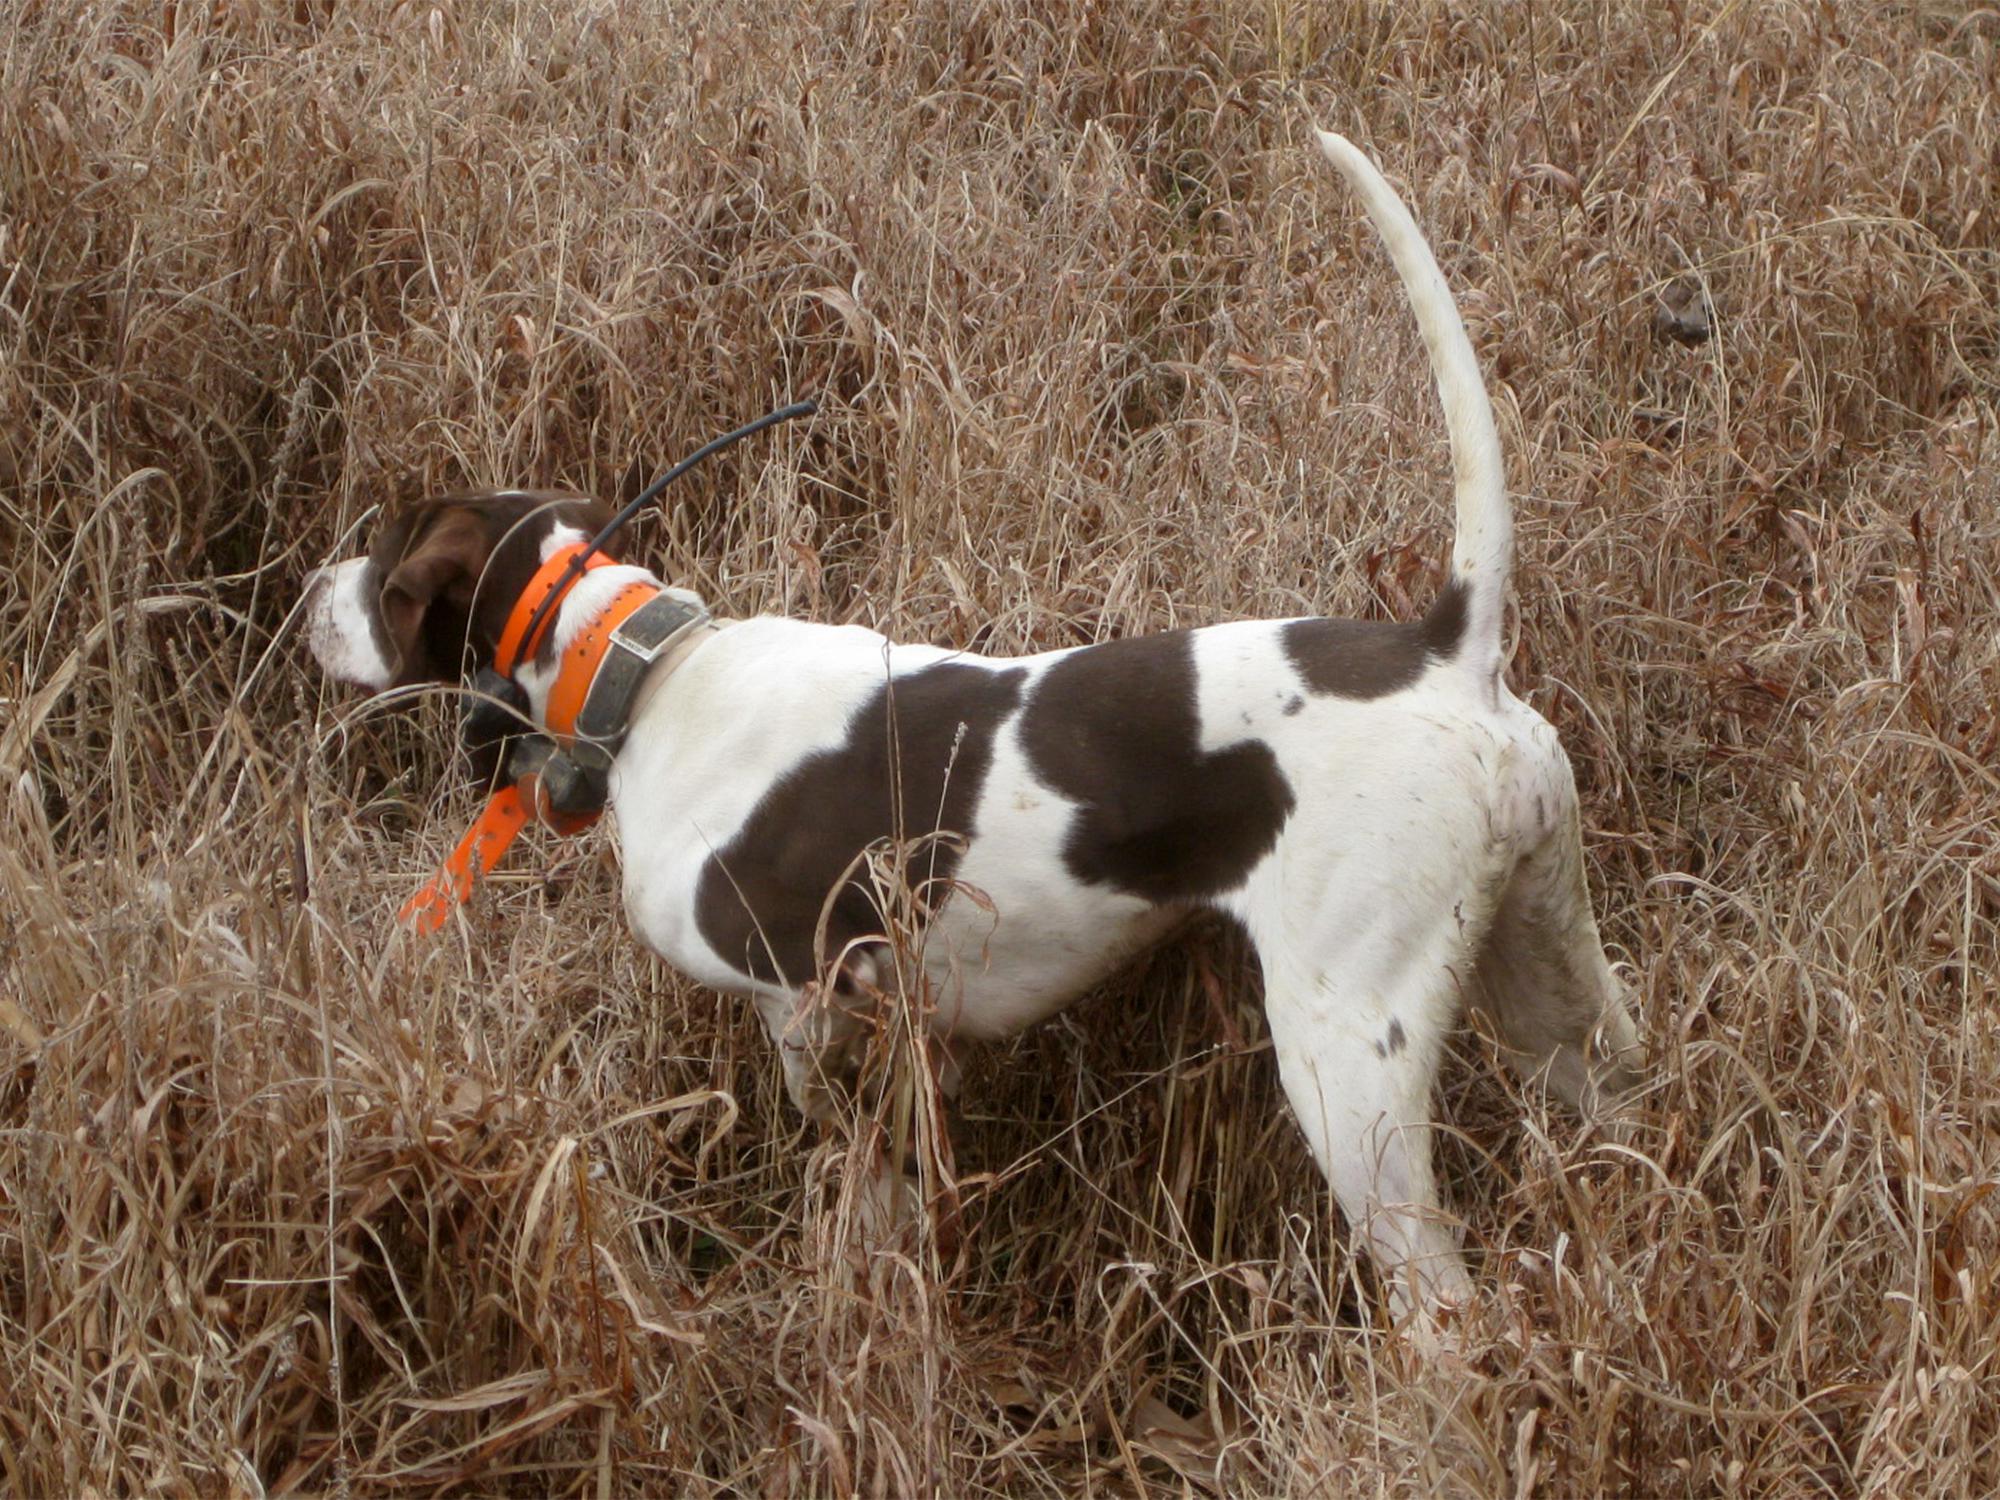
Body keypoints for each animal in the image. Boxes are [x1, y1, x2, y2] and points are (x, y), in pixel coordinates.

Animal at [300, 135, 1640, 1320]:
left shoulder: (811, 1008)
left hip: (1348, 1058)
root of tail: (1447, 652)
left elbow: (850, 1163)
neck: (648, 673)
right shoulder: (904, 1025)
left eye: (383, 561)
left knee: (1444, 1314)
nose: (310, 592)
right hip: (1558, 989)